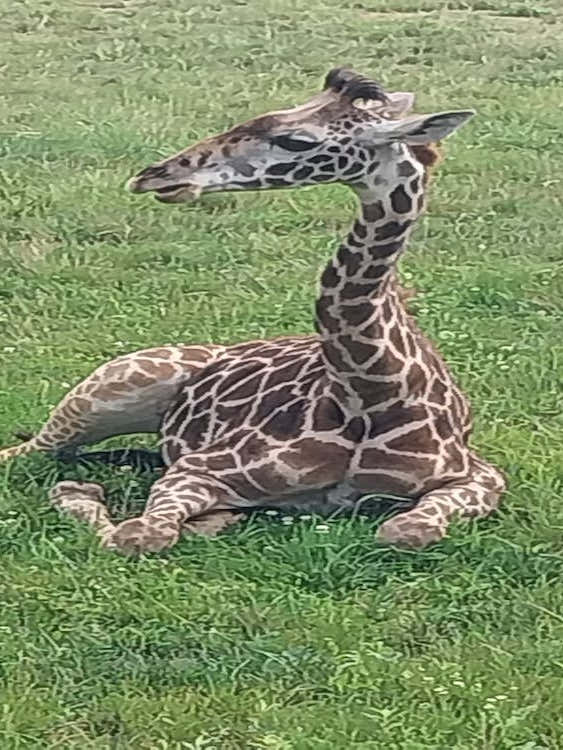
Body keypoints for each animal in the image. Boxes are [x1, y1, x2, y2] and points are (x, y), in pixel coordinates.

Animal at [0, 68, 506, 554]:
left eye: (296, 140)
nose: (155, 175)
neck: (373, 392)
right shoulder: (196, 468)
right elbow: (139, 535)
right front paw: (80, 494)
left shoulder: (480, 476)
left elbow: (406, 530)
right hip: (103, 392)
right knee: (30, 452)